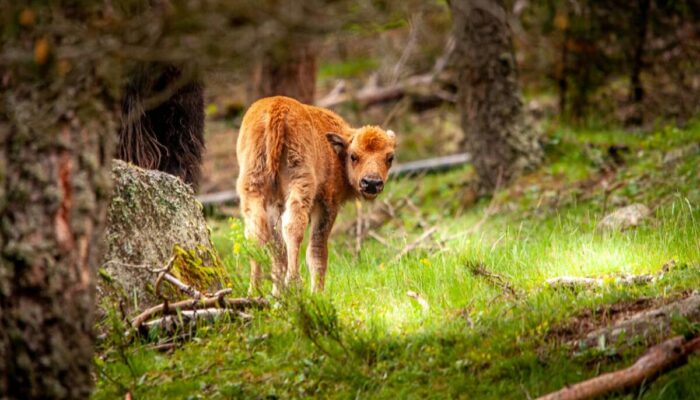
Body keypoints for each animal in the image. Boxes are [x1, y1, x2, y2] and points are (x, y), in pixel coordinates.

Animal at [238, 94, 396, 294]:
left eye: (390, 158)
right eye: (353, 156)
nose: (371, 183)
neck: (336, 152)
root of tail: (276, 108)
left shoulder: (276, 203)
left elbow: (278, 249)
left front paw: (277, 293)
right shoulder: (326, 204)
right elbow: (317, 250)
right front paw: (317, 293)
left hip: (252, 184)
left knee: (256, 232)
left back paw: (254, 290)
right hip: (300, 181)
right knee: (293, 227)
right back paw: (294, 282)